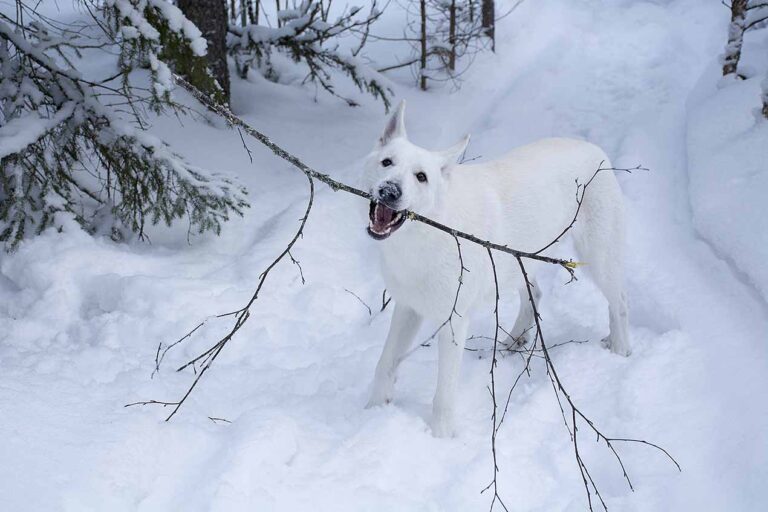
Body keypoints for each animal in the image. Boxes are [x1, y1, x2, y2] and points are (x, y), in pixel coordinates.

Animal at [364, 101, 628, 436]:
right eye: (387, 162)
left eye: (421, 177)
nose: (389, 191)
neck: (424, 234)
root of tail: (594, 149)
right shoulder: (407, 307)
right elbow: (384, 363)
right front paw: (373, 410)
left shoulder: (454, 322)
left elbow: (444, 394)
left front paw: (441, 436)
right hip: (519, 262)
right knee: (535, 296)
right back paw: (513, 343)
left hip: (599, 257)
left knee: (620, 303)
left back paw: (621, 350)